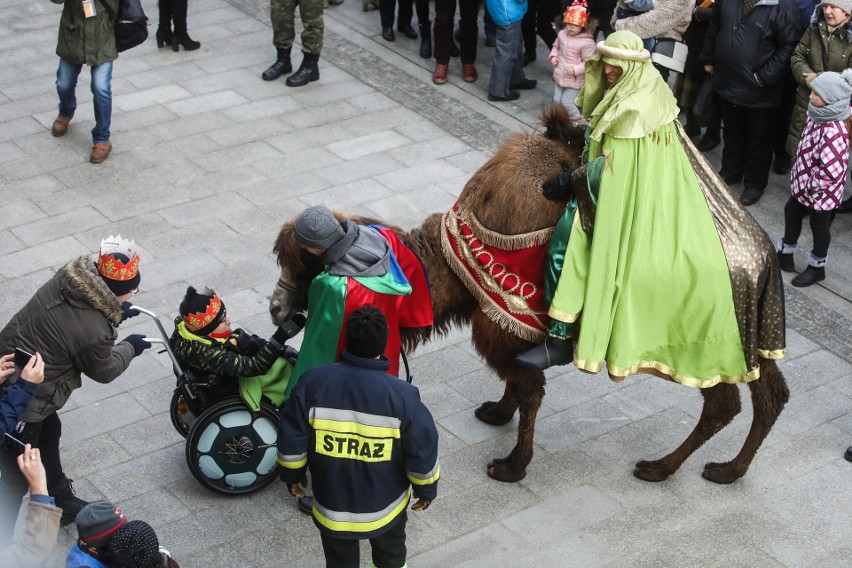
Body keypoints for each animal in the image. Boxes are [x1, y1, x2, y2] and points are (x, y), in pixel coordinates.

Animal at [270, 105, 788, 484]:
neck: (458, 261)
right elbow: (518, 387)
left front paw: (510, 466)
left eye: (304, 264)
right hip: (753, 337)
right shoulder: (505, 324)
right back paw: (728, 470)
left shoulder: (503, 326)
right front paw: (495, 413)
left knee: (723, 404)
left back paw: (659, 468)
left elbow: (529, 389)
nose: (276, 307)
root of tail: (763, 260)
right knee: (770, 393)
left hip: (707, 345)